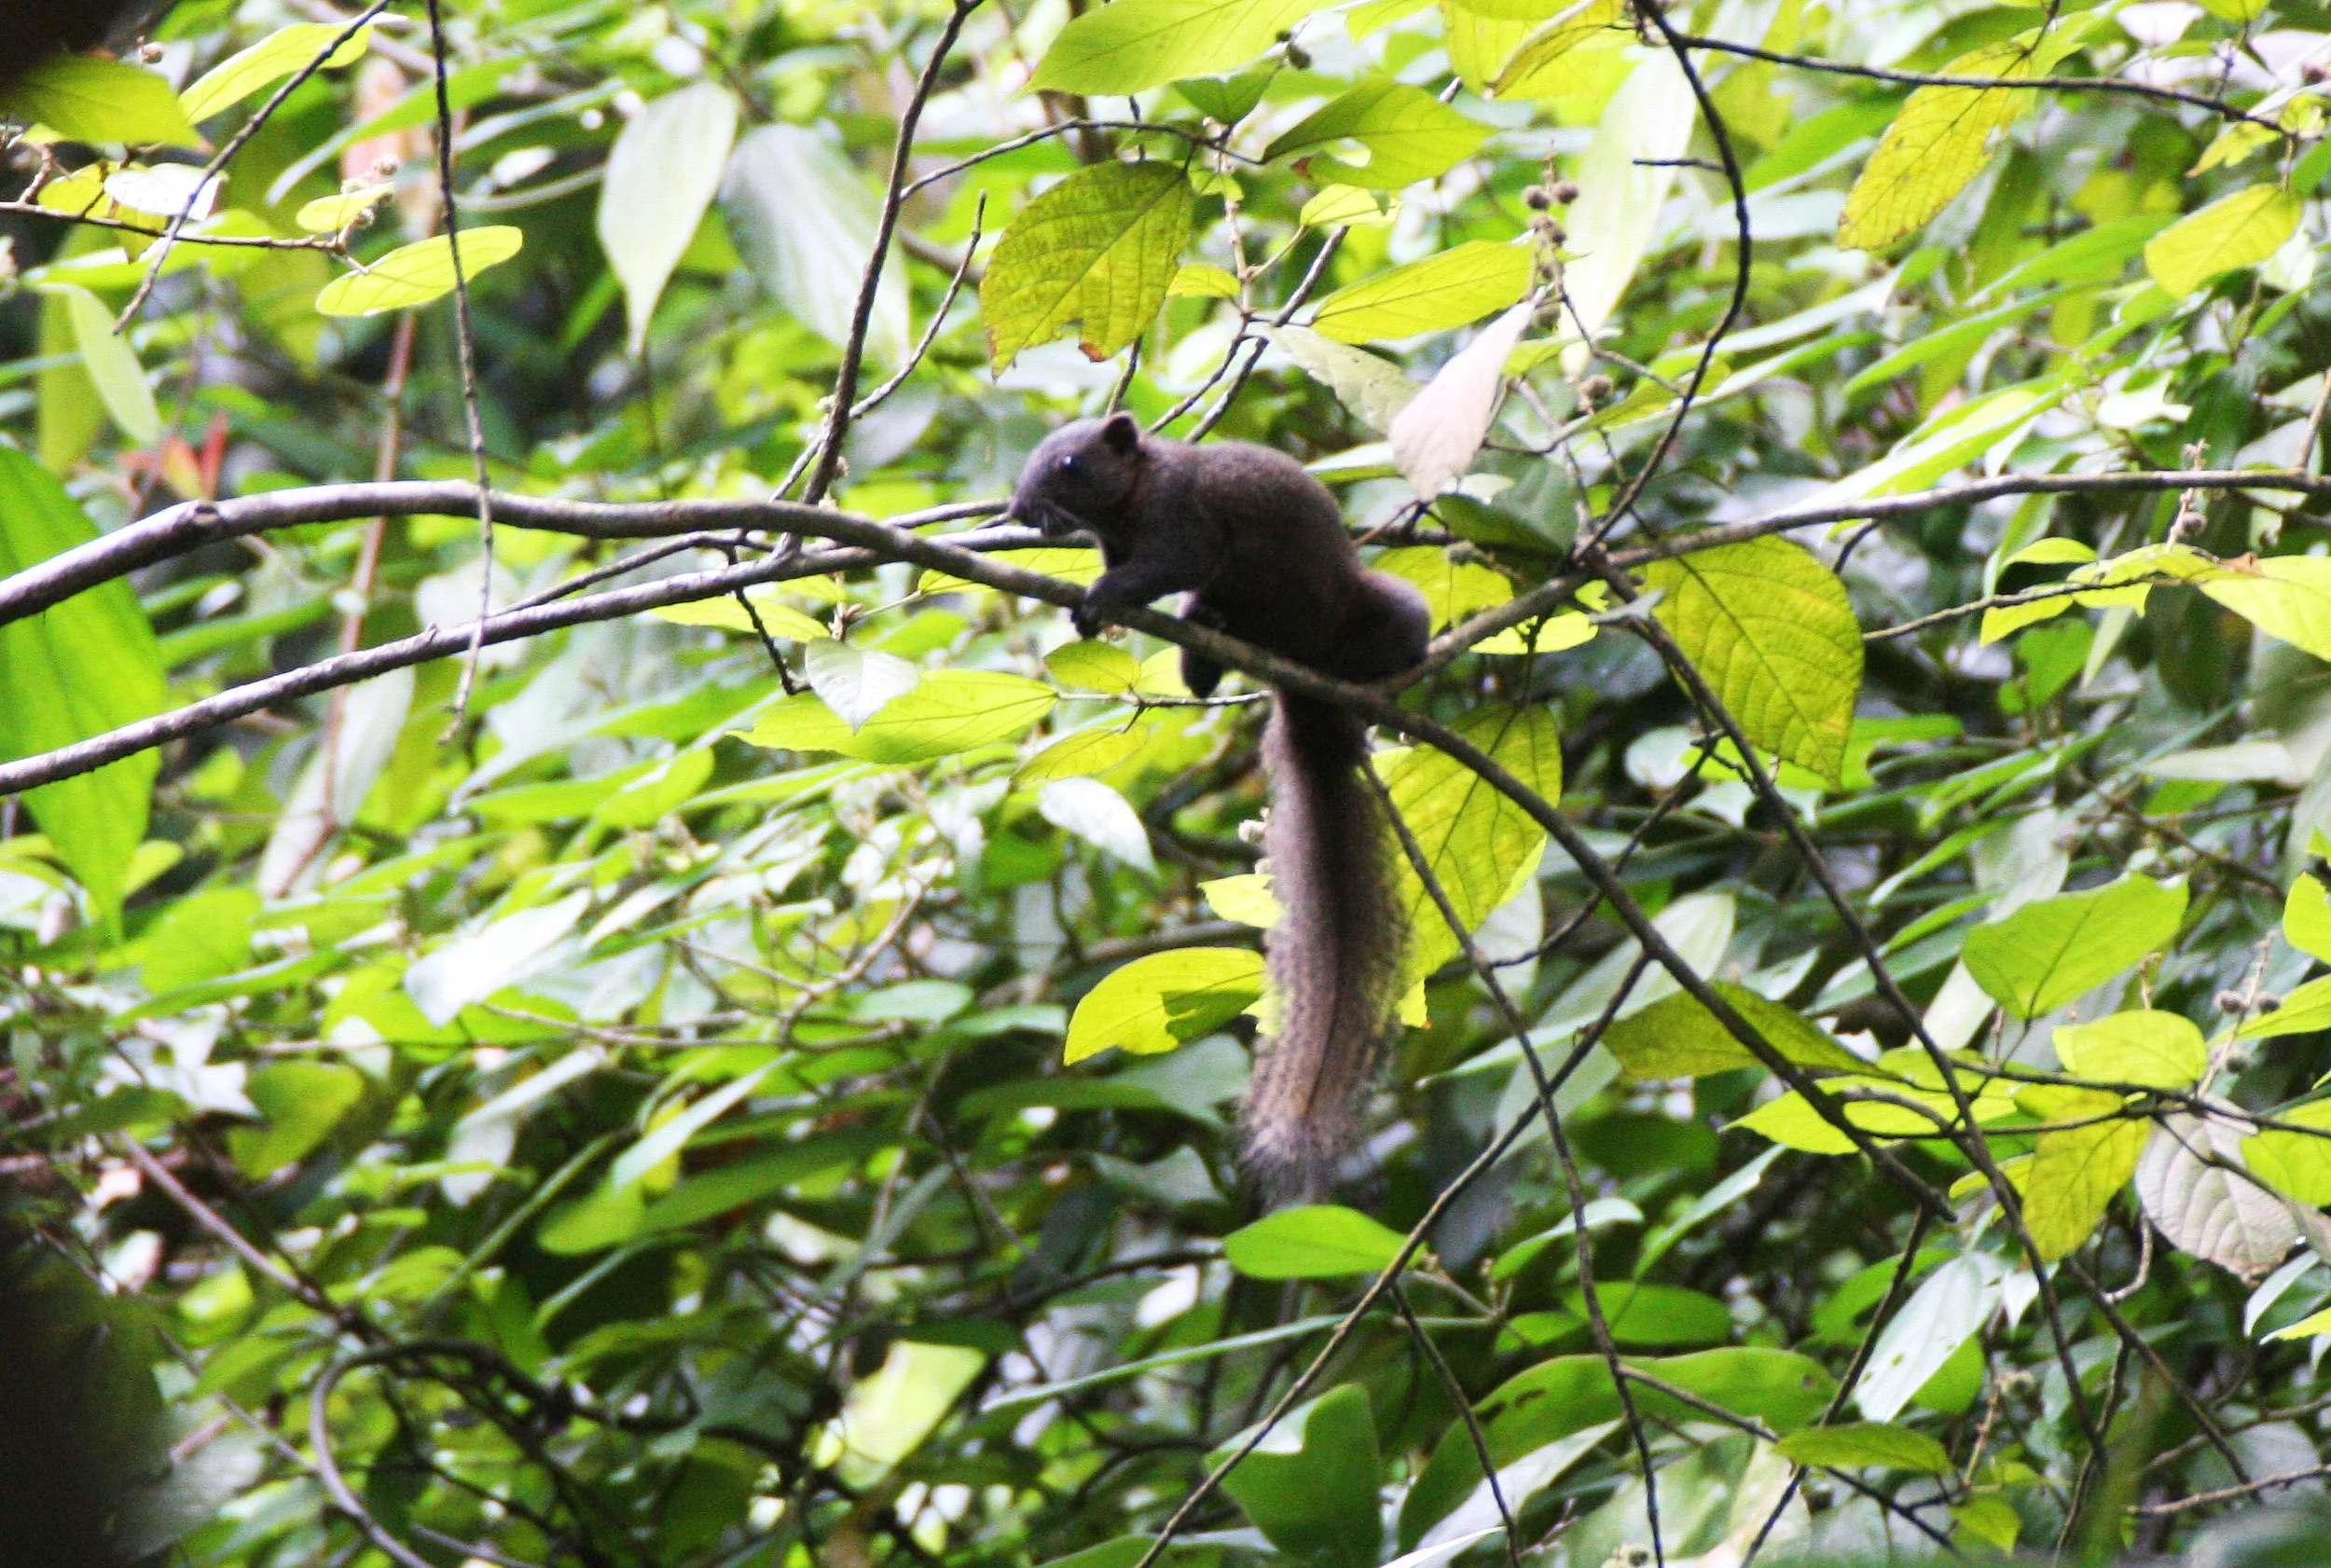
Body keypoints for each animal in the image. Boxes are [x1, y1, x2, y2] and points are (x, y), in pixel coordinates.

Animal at [1008, 412, 1431, 1199]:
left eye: (1071, 464)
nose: (1019, 510)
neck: (1130, 498)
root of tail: (1306, 694)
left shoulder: (1183, 522)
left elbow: (1169, 565)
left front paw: (1103, 597)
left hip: (1373, 613)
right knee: (1206, 629)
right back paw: (1204, 660)